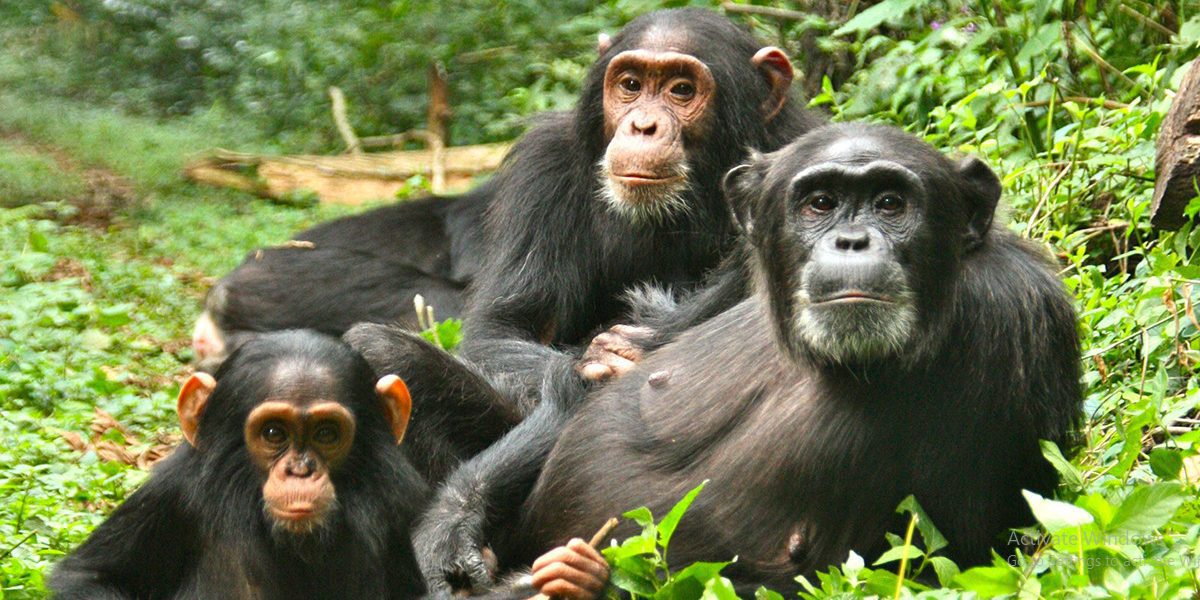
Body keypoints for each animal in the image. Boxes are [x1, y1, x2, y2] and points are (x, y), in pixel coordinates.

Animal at [412, 123, 1089, 595]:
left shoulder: (1010, 318)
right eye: (820, 203)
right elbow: (591, 381)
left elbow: (956, 557)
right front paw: (450, 534)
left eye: (891, 204)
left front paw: (576, 579)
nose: (852, 240)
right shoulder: (728, 278)